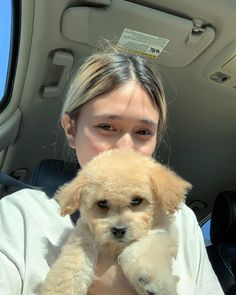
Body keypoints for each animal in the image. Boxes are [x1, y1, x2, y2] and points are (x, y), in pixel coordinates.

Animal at [41, 150, 192, 295]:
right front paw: (59, 291)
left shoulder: (162, 234)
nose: (118, 230)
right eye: (102, 203)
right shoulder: (83, 238)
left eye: (136, 200)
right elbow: (71, 266)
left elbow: (145, 251)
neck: (115, 247)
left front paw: (152, 280)